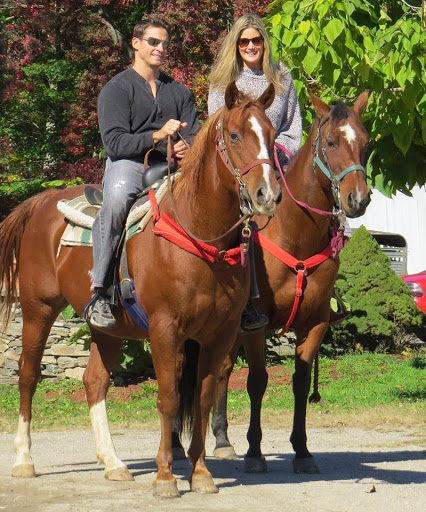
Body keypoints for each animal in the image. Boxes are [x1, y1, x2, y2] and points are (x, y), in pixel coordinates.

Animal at [0, 83, 282, 496]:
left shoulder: (219, 333)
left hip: (108, 329)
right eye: (234, 136)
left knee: (94, 382)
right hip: (39, 309)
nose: (267, 195)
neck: (198, 235)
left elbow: (202, 396)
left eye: (272, 135)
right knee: (28, 375)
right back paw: (23, 459)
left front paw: (201, 474)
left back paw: (113, 463)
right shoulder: (165, 329)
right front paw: (165, 476)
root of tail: (41, 202)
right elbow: (168, 398)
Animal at [176, 91, 370, 472]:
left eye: (365, 144)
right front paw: (255, 451)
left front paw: (303, 450)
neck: (295, 235)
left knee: (221, 373)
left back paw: (221, 440)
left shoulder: (315, 323)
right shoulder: (257, 326)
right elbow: (257, 382)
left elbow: (300, 382)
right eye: (330, 142)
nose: (358, 198)